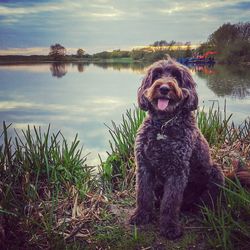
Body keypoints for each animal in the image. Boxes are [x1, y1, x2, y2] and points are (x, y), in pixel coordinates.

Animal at [130, 57, 226, 239]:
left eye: (176, 76)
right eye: (157, 75)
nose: (164, 88)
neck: (163, 125)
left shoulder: (178, 171)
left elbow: (171, 202)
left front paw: (169, 227)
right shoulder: (144, 165)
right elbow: (143, 194)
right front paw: (141, 215)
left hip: (215, 171)